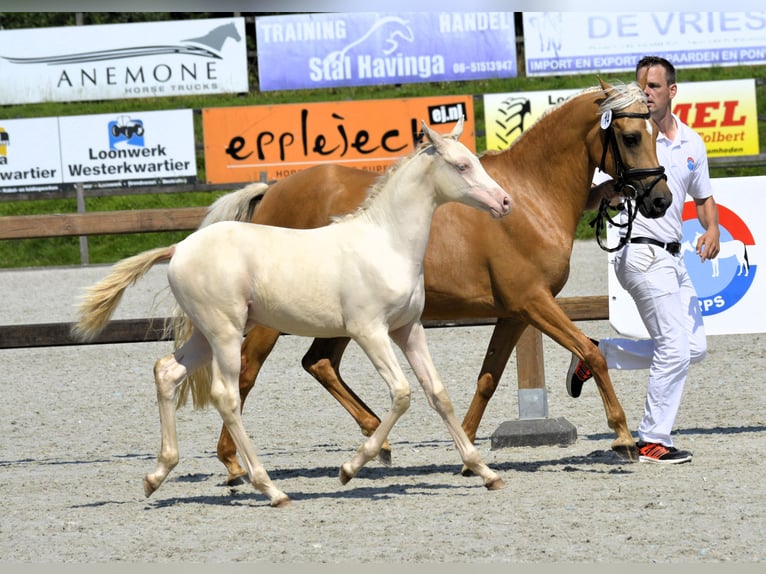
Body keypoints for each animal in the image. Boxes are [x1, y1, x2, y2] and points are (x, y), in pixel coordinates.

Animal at [73, 121, 516, 508]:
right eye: (461, 165)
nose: (505, 202)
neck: (385, 243)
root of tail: (179, 248)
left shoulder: (408, 329)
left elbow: (437, 394)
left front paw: (485, 472)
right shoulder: (368, 330)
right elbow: (402, 393)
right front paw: (350, 468)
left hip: (204, 334)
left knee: (167, 372)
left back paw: (157, 475)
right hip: (226, 332)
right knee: (226, 396)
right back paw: (270, 489)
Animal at [201, 79, 676, 488]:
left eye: (656, 129)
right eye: (630, 136)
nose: (660, 199)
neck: (530, 197)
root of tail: (272, 193)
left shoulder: (514, 313)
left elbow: (487, 379)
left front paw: (467, 454)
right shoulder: (534, 302)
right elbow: (591, 353)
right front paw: (623, 438)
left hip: (339, 320)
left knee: (318, 363)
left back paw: (376, 441)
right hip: (275, 321)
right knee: (246, 373)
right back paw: (235, 464)